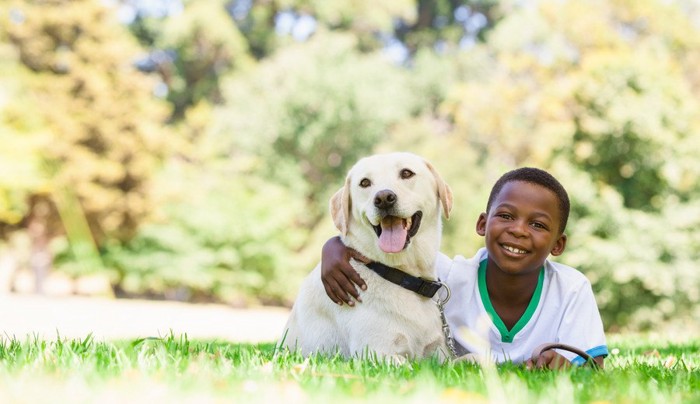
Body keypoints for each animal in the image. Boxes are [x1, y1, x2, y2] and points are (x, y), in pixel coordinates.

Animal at [278, 152, 454, 362]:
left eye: (406, 173)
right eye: (364, 183)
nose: (384, 198)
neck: (400, 276)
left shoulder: (440, 353)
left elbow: (470, 357)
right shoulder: (376, 353)